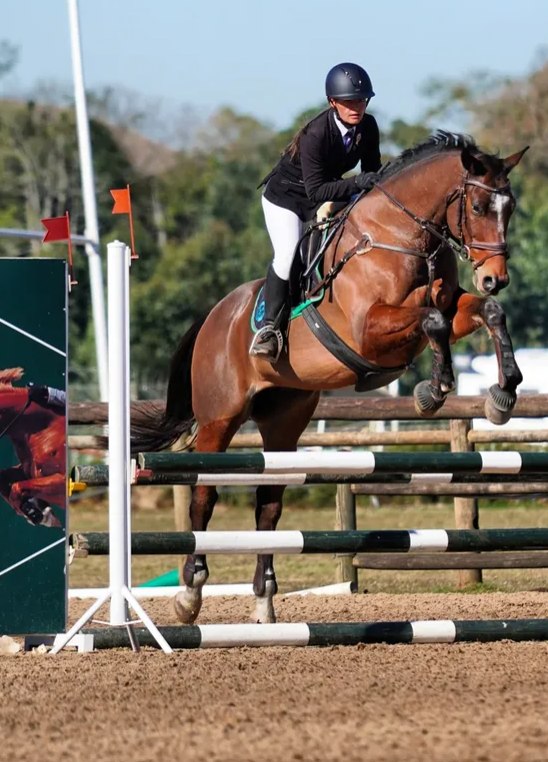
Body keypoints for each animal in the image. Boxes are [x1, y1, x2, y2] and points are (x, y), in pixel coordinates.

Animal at [131, 131, 528, 625]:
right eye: (477, 206)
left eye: (510, 207)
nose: (496, 278)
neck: (403, 237)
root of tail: (214, 316)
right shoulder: (368, 328)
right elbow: (432, 320)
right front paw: (433, 390)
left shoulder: (451, 306)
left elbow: (484, 312)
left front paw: (502, 393)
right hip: (219, 419)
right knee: (204, 495)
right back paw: (189, 596)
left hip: (283, 422)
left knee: (269, 505)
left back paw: (264, 602)